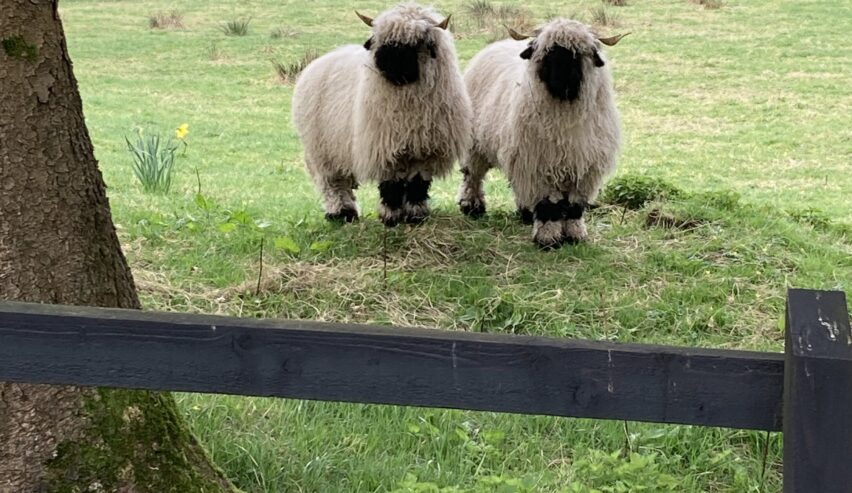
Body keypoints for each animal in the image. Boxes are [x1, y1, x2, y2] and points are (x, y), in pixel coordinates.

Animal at [292, 3, 472, 226]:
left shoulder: (425, 151)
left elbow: (418, 184)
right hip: (321, 150)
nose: (384, 63)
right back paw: (341, 213)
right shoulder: (383, 147)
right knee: (333, 184)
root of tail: (327, 57)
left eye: (416, 42)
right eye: (381, 39)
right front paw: (391, 217)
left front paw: (415, 215)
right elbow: (391, 186)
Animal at [457, 19, 627, 248]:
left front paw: (575, 235)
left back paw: (525, 212)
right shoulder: (540, 165)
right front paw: (548, 239)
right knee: (472, 175)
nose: (561, 80)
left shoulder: (583, 168)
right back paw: (472, 206)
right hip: (477, 145)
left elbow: (575, 206)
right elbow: (549, 205)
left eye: (578, 54)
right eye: (547, 53)